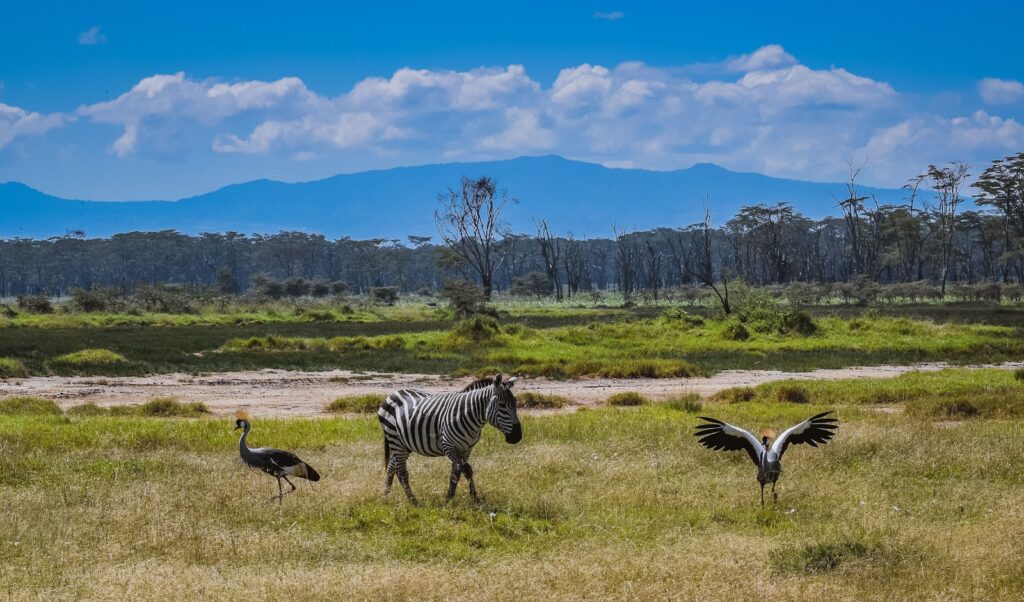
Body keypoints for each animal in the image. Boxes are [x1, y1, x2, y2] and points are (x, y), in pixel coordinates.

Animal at [377, 374, 522, 504]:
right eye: (502, 405)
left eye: (515, 404)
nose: (517, 436)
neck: (468, 415)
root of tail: (394, 393)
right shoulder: (449, 446)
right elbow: (466, 470)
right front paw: (474, 498)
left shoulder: (467, 449)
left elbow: (456, 473)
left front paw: (450, 498)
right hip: (395, 439)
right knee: (401, 472)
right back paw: (413, 501)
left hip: (403, 444)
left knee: (392, 466)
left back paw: (385, 494)